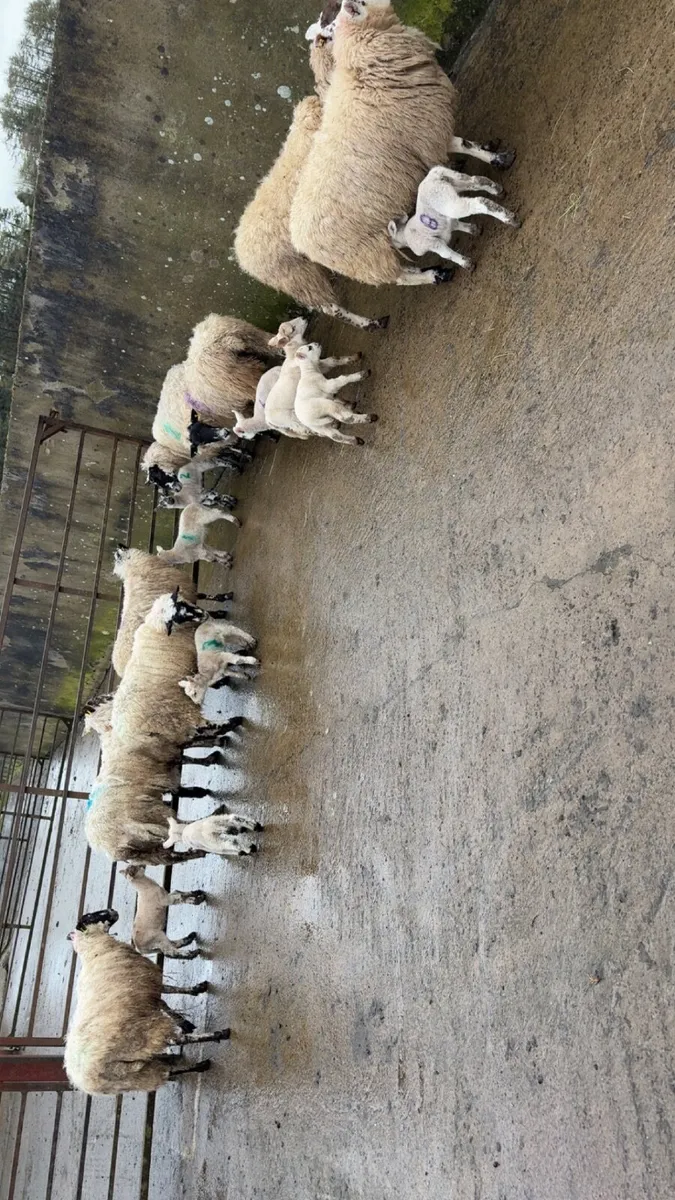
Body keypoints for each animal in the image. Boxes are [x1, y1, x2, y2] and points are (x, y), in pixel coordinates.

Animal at [65, 909, 230, 1095]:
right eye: (90, 917)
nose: (112, 910)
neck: (94, 948)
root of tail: (88, 1081)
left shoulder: (146, 989)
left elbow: (166, 1003)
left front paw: (185, 1019)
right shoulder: (148, 982)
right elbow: (170, 992)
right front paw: (195, 994)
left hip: (133, 1077)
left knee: (167, 1072)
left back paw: (198, 1065)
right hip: (143, 1038)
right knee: (180, 1041)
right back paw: (218, 1036)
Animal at [388, 165, 520, 267]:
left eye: (392, 242)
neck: (404, 236)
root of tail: (434, 174)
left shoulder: (431, 243)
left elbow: (447, 254)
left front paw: (466, 264)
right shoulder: (447, 222)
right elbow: (457, 225)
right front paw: (474, 229)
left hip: (447, 201)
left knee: (479, 202)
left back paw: (509, 219)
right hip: (455, 184)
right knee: (475, 180)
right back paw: (498, 190)